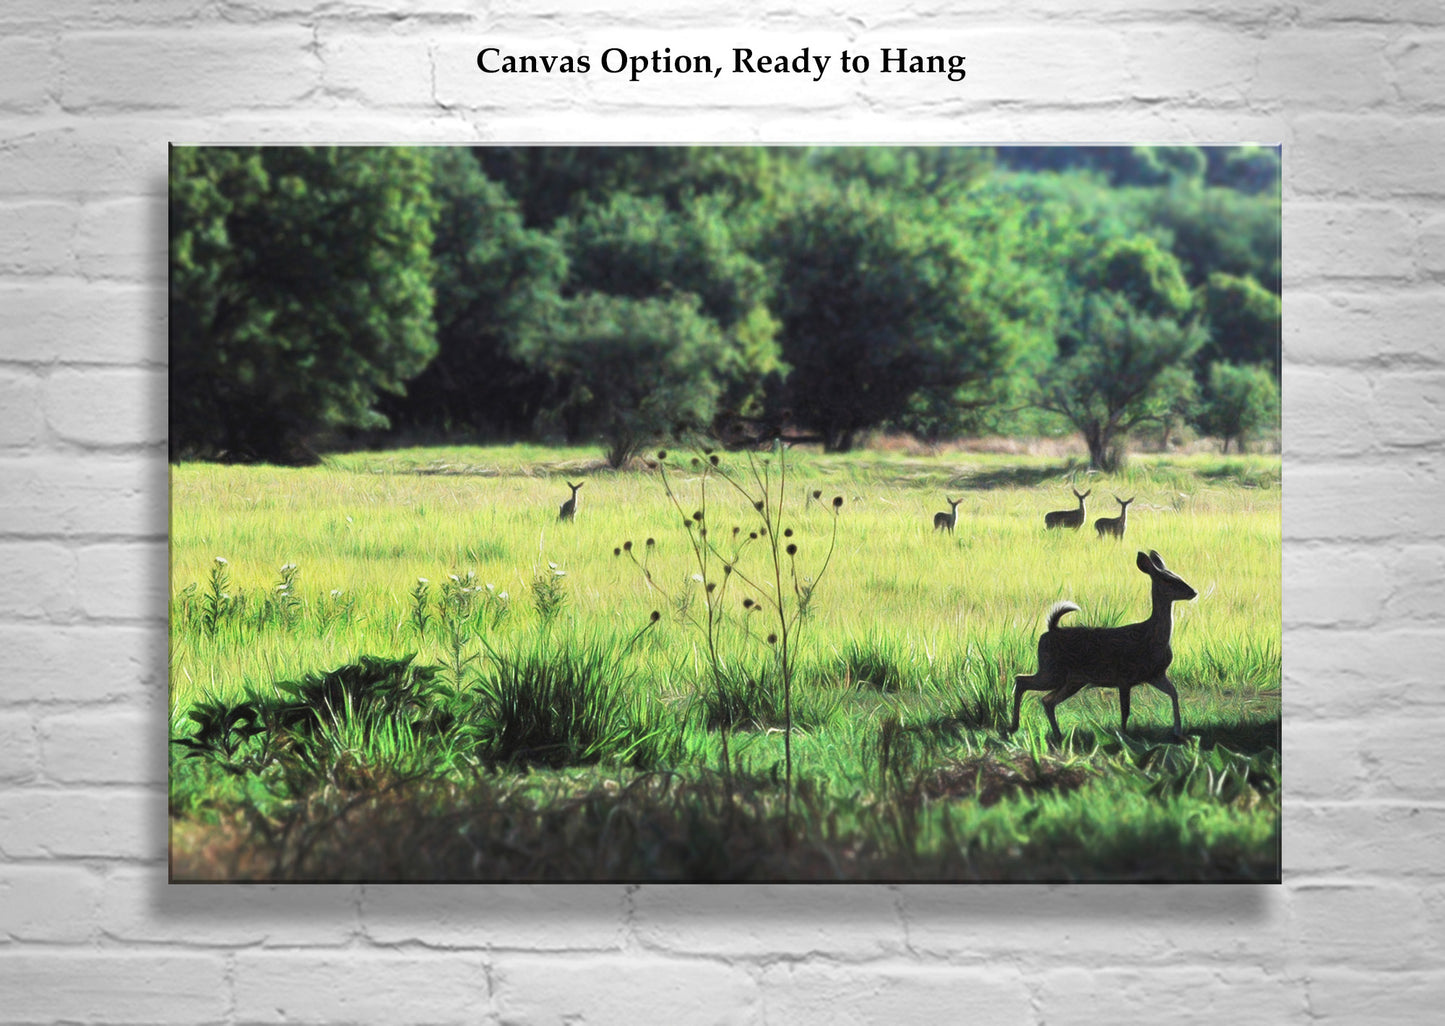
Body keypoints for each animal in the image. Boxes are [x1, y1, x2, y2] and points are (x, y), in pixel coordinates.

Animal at [1006, 550, 1197, 743]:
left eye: (1177, 575)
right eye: (1168, 579)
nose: (1193, 592)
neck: (1151, 636)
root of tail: (1051, 629)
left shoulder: (1155, 675)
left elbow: (1173, 693)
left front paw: (1178, 732)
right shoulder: (1124, 677)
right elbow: (1125, 710)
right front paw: (1123, 736)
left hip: (1073, 680)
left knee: (1047, 700)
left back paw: (1057, 734)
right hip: (1052, 671)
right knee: (1021, 680)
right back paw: (1013, 727)